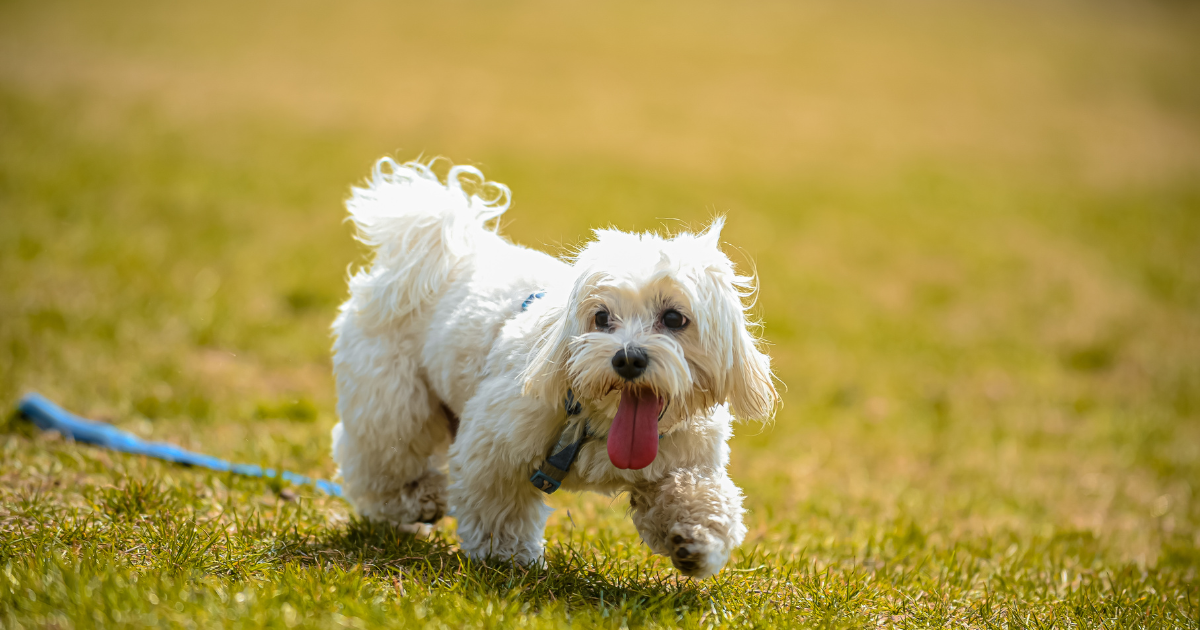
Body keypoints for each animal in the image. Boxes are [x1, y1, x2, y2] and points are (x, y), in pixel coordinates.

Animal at [331, 157, 777, 573]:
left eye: (673, 318)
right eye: (601, 317)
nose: (628, 358)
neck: (599, 421)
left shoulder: (686, 458)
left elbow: (698, 493)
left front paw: (696, 538)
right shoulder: (494, 445)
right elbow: (499, 506)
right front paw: (505, 557)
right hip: (391, 397)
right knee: (382, 456)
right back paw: (417, 498)